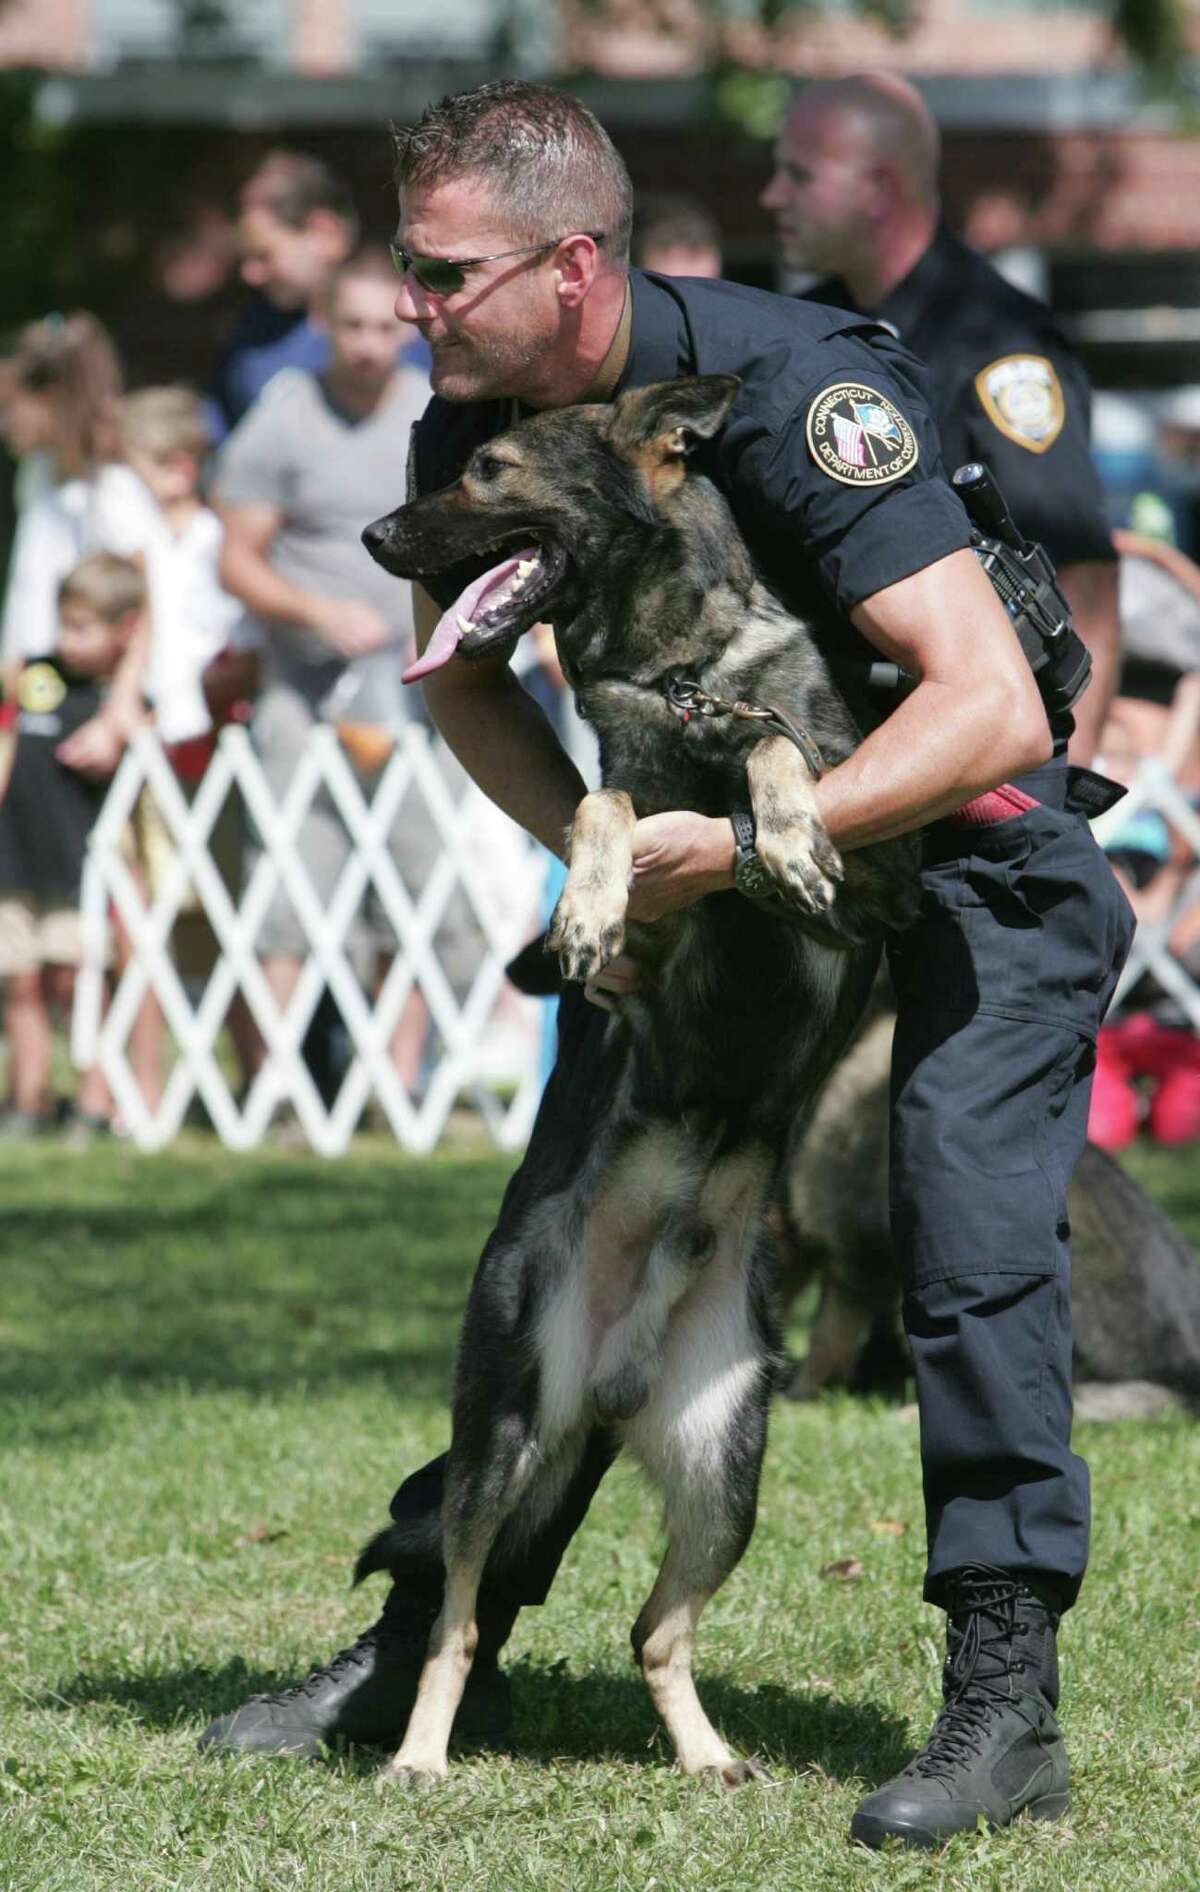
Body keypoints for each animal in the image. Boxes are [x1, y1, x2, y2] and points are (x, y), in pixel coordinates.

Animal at [359, 372, 912, 1786]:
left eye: (491, 470)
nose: (380, 535)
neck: (679, 672)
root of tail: (613, 1381)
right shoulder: (649, 938)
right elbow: (606, 813)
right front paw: (592, 902)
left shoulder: (885, 889)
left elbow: (784, 759)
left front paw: (787, 827)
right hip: (500, 1442)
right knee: (456, 1618)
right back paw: (420, 1756)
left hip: (729, 1467)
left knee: (654, 1630)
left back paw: (710, 1755)